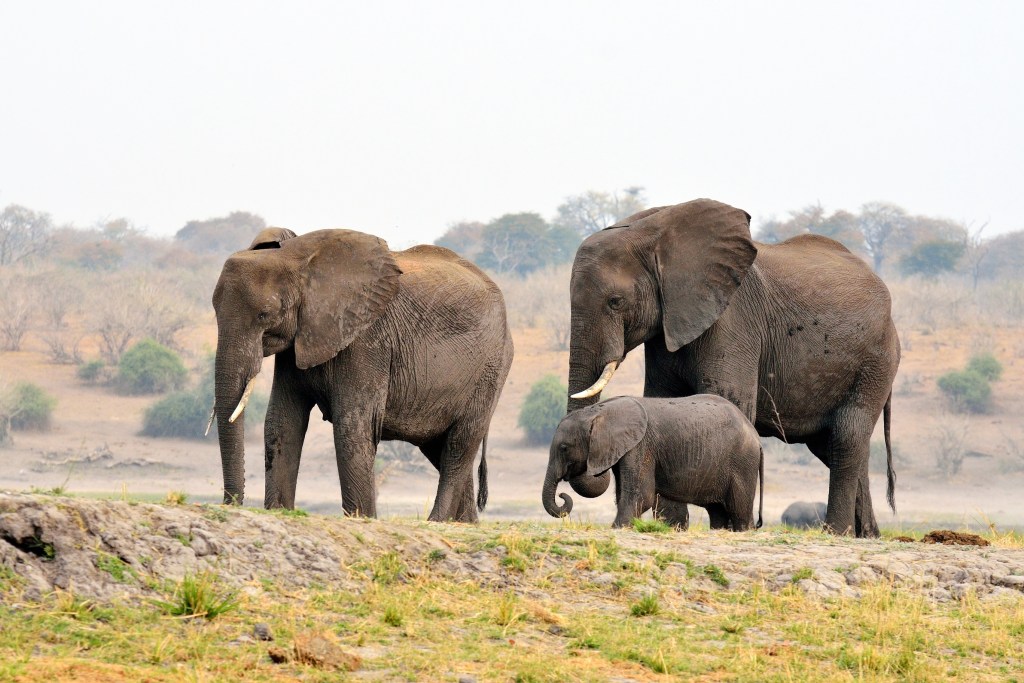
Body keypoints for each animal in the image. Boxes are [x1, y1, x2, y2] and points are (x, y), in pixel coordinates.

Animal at [209, 229, 512, 524]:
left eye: (264, 315)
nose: (230, 504)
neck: (296, 257)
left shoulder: (366, 339)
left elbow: (352, 425)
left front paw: (362, 518)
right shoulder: (299, 340)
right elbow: (282, 422)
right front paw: (280, 512)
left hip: (490, 370)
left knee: (459, 445)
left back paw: (435, 521)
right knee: (441, 448)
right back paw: (464, 524)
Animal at [544, 395, 761, 528]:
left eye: (564, 448)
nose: (562, 495)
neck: (600, 411)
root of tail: (756, 437)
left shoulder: (641, 446)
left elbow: (641, 494)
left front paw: (617, 528)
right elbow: (625, 492)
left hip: (743, 463)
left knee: (739, 511)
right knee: (717, 512)